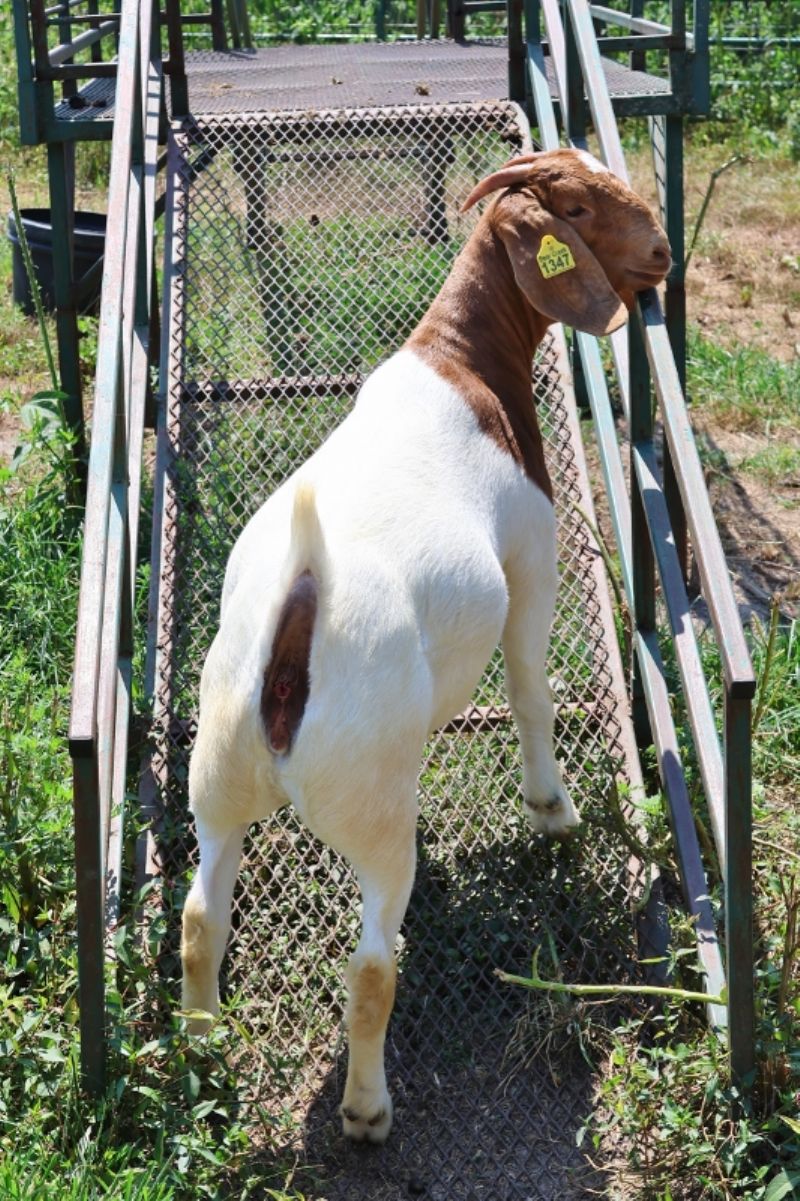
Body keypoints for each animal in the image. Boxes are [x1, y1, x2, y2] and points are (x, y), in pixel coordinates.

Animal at [180, 148, 671, 1143]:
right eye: (576, 206)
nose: (662, 253)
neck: (460, 359)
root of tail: (300, 603)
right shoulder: (531, 557)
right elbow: (529, 689)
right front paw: (552, 811)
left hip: (217, 772)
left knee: (200, 919)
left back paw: (201, 1049)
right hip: (368, 807)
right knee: (372, 962)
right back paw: (368, 1108)